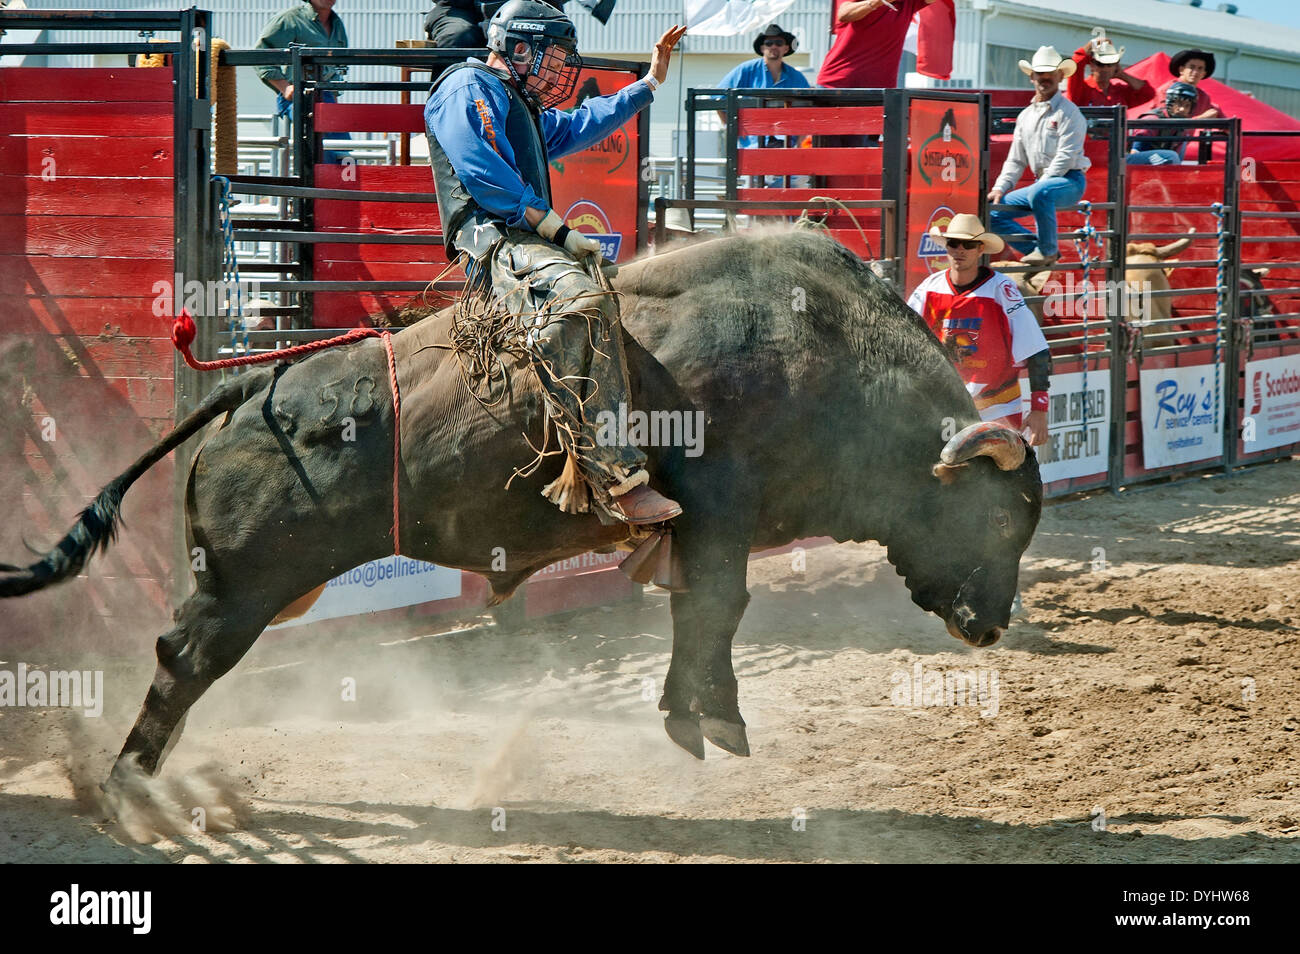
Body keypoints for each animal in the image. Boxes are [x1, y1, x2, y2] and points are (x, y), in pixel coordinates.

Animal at [0, 228, 1042, 785]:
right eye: (1000, 519)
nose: (991, 627)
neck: (819, 345)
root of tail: (258, 387)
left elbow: (698, 614)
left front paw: (695, 716)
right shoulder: (719, 512)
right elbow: (717, 608)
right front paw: (711, 720)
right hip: (242, 587)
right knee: (183, 662)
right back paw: (132, 788)